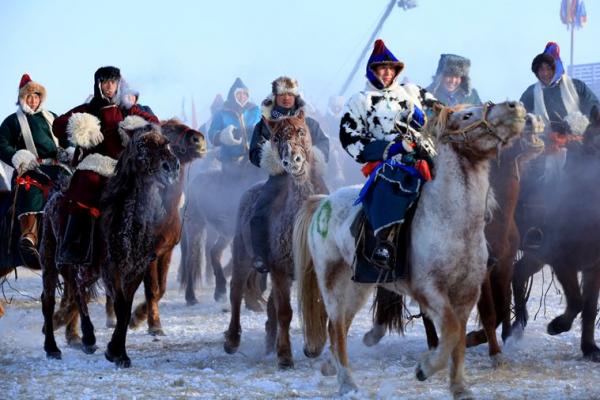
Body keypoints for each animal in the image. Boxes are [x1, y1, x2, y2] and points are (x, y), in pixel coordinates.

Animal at [221, 110, 326, 368]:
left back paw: (269, 343)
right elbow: (285, 312)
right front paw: (285, 356)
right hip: (242, 256)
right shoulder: (279, 269)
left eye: (301, 130)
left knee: (270, 305)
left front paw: (314, 347)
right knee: (236, 291)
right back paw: (233, 341)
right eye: (275, 138)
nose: (293, 161)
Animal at [294, 101, 524, 400]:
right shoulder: (429, 290)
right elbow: (450, 330)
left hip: (358, 286)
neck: (452, 222)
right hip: (332, 283)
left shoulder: (466, 294)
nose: (514, 107)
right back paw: (347, 383)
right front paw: (425, 369)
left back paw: (332, 368)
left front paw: (459, 387)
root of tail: (323, 202)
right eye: (467, 115)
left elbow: (459, 338)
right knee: (335, 328)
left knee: (340, 327)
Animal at [508, 108, 600, 360]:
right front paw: (557, 326)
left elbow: (589, 308)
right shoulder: (562, 262)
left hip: (537, 256)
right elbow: (577, 302)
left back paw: (517, 325)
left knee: (518, 273)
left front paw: (589, 347)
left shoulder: (592, 268)